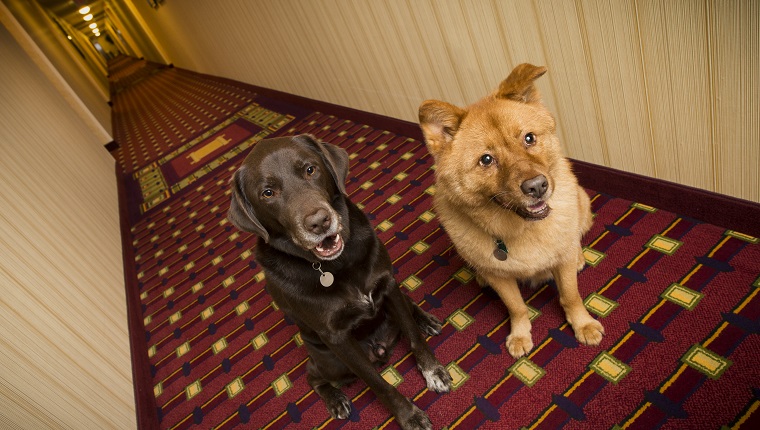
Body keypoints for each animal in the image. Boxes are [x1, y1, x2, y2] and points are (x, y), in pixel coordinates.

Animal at [416, 63, 604, 360]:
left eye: (529, 138)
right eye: (486, 159)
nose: (537, 186)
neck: (522, 228)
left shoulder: (562, 264)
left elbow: (570, 296)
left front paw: (582, 324)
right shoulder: (500, 278)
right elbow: (516, 307)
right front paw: (520, 334)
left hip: (582, 205)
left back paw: (578, 256)